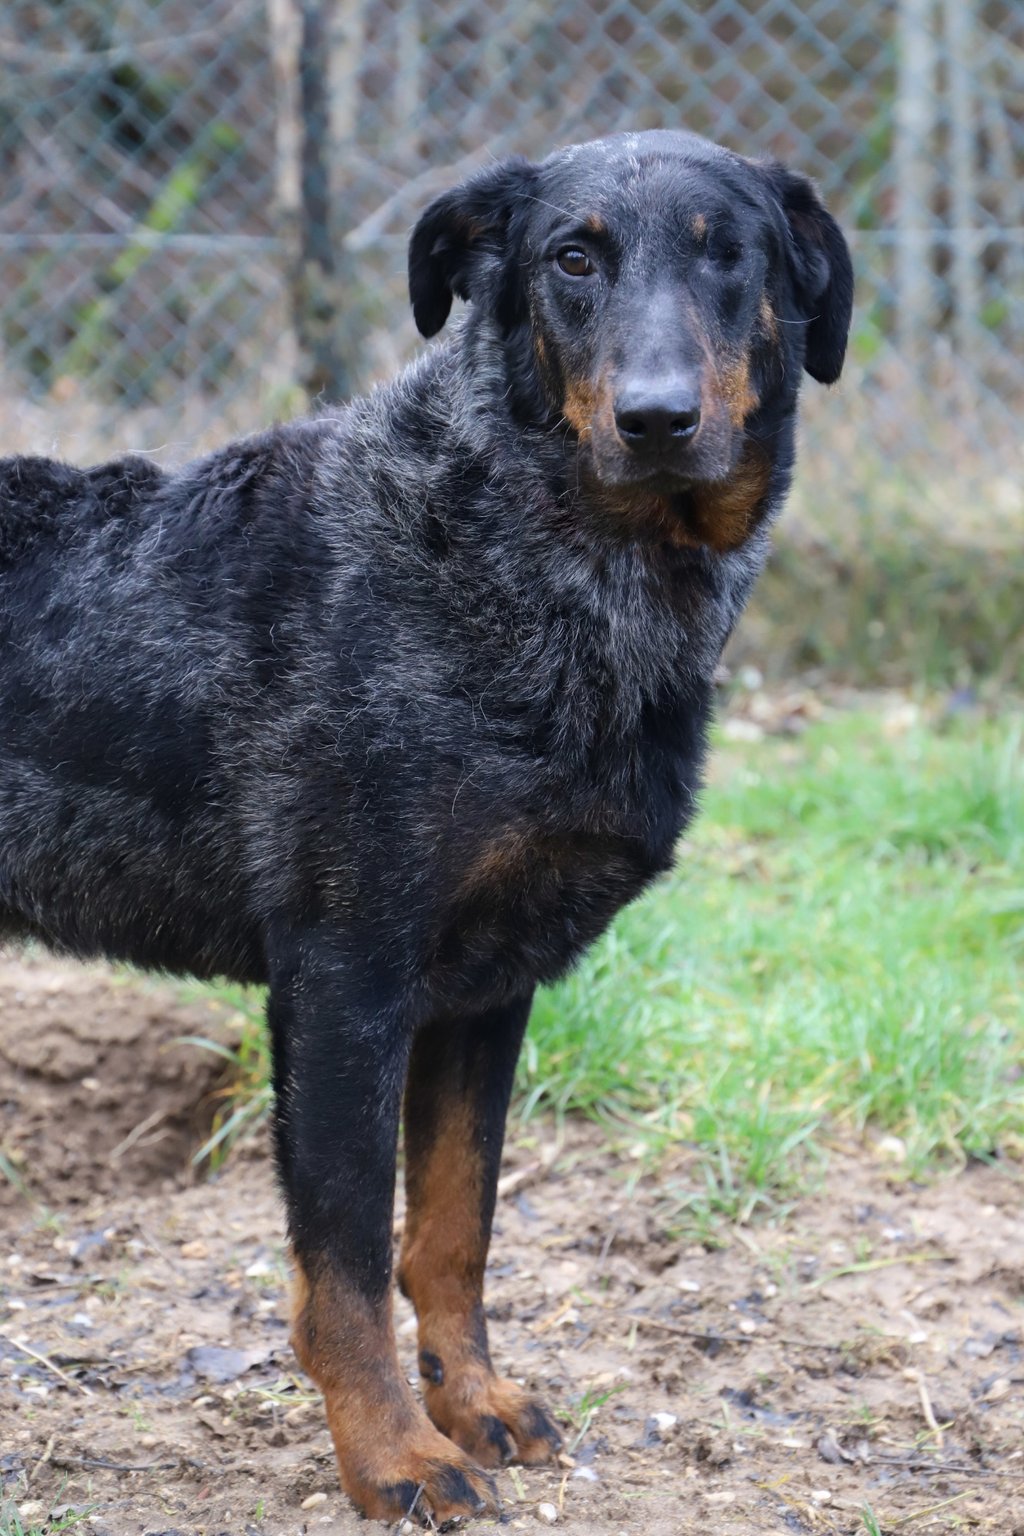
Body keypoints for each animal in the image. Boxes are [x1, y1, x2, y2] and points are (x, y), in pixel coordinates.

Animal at [0, 135, 847, 1523]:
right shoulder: (345, 983)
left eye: (730, 254)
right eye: (573, 258)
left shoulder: (485, 990)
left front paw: (474, 1404)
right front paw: (392, 1457)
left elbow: (451, 1234)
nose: (657, 417)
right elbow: (342, 1271)